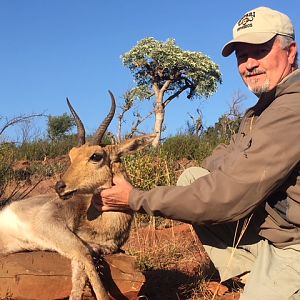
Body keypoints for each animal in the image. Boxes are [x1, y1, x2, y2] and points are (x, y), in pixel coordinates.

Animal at [0, 91, 155, 300]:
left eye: (96, 156)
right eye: (71, 154)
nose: (59, 186)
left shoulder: (91, 248)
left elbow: (79, 280)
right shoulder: (51, 225)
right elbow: (89, 267)